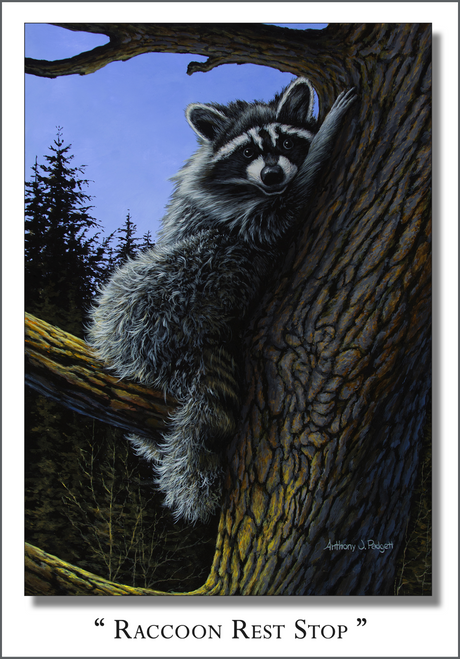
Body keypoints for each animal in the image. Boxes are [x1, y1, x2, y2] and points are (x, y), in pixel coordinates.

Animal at [88, 78, 356, 524]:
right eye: (247, 152)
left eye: (285, 142)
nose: (272, 173)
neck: (255, 186)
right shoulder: (230, 210)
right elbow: (270, 215)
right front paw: (327, 138)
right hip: (188, 283)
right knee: (137, 289)